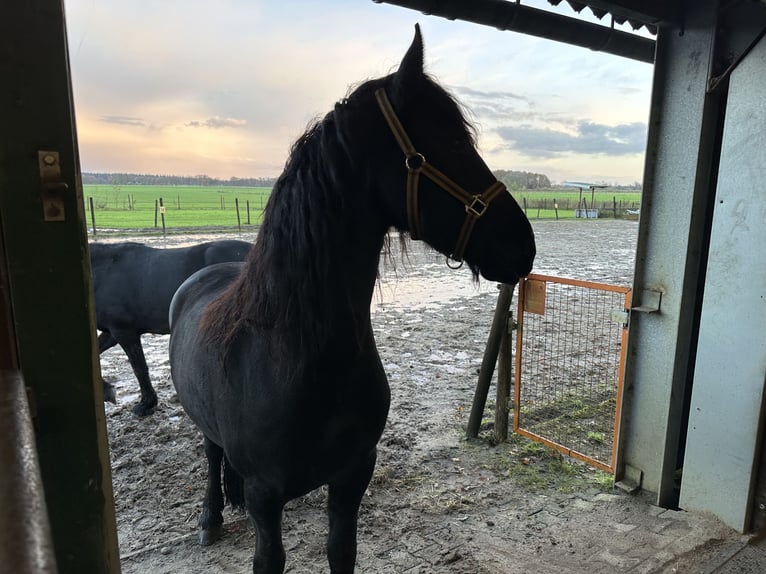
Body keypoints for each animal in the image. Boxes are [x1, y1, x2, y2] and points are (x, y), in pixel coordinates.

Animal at [90, 241, 250, 416]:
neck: (106, 270)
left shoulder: (124, 332)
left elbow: (139, 368)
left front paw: (146, 404)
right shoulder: (111, 333)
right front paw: (106, 390)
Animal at [171, 27, 536, 574]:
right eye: (452, 141)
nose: (523, 244)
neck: (300, 359)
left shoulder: (352, 476)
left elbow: (341, 551)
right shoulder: (265, 499)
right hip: (211, 435)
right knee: (212, 454)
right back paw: (208, 519)